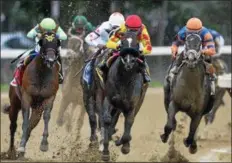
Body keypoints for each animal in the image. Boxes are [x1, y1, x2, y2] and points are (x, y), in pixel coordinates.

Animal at [4, 31, 60, 159]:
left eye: (57, 43)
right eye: (42, 42)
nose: (50, 60)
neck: (42, 74)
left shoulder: (49, 97)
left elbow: (46, 117)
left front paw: (44, 144)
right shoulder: (26, 96)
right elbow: (25, 120)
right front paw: (20, 147)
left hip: (37, 108)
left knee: (32, 123)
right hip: (14, 103)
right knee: (13, 126)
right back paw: (11, 151)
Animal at [100, 31, 148, 161]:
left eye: (137, 43)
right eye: (122, 42)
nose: (128, 62)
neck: (124, 80)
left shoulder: (131, 105)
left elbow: (129, 123)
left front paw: (124, 145)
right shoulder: (109, 99)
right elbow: (107, 120)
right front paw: (105, 152)